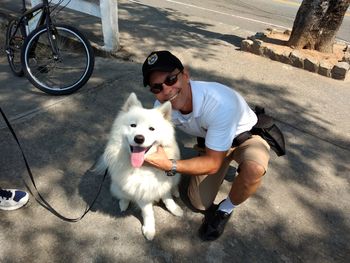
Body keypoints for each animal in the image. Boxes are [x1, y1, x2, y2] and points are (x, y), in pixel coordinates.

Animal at [95, 93, 183, 241]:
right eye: (133, 125)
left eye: (151, 128)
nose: (139, 138)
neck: (145, 167)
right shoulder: (142, 192)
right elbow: (148, 213)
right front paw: (149, 230)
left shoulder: (163, 183)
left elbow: (168, 198)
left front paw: (176, 209)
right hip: (119, 186)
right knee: (122, 195)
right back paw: (124, 203)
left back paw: (176, 191)